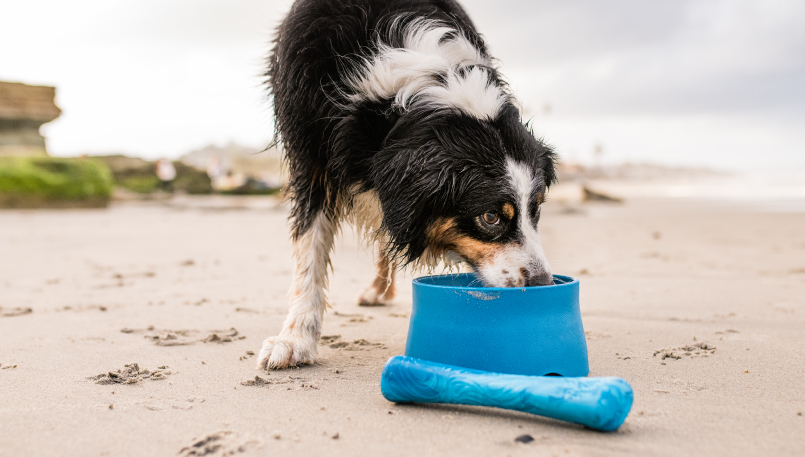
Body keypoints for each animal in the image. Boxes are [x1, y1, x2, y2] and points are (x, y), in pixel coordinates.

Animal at [258, 0, 552, 370]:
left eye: (536, 209)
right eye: (490, 217)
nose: (543, 283)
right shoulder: (311, 154)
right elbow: (309, 252)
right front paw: (294, 340)